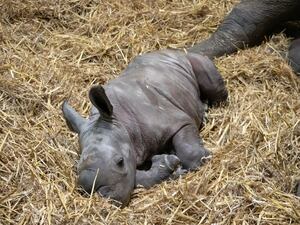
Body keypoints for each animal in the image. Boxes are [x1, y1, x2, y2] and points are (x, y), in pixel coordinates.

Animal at [63, 50, 227, 207]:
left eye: (120, 162)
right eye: (77, 168)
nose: (103, 195)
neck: (120, 121)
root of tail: (173, 51)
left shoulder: (179, 122)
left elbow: (190, 153)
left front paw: (203, 157)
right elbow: (137, 178)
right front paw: (171, 167)